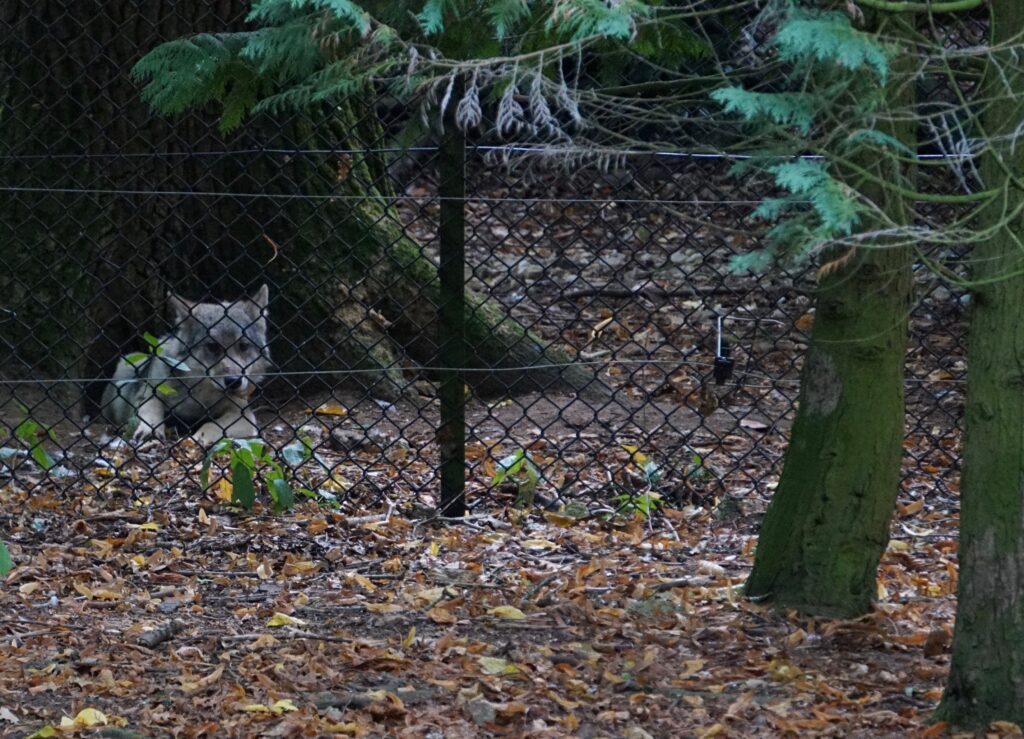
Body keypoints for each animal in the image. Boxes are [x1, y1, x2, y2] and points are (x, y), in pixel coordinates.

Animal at [100, 282, 272, 444]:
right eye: (212, 346)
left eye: (243, 346)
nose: (233, 382)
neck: (199, 394)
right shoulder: (150, 392)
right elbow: (151, 408)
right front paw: (150, 430)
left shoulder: (244, 415)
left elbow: (211, 424)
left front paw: (199, 437)